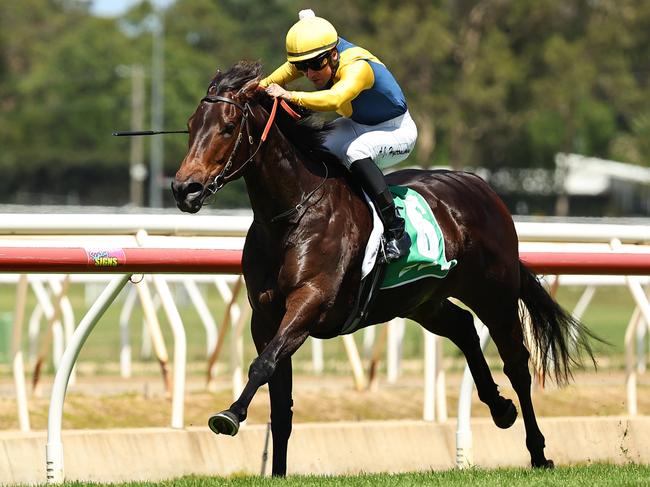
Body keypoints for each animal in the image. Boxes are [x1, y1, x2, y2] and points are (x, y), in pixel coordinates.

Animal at [171, 61, 592, 476]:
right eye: (191, 124)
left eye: (227, 126)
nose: (184, 189)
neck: (293, 214)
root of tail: (483, 188)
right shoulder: (265, 315)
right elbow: (279, 400)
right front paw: (276, 472)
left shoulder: (310, 302)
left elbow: (263, 365)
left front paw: (230, 415)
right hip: (422, 299)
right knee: (463, 327)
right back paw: (500, 407)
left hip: (494, 293)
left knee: (517, 363)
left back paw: (538, 452)